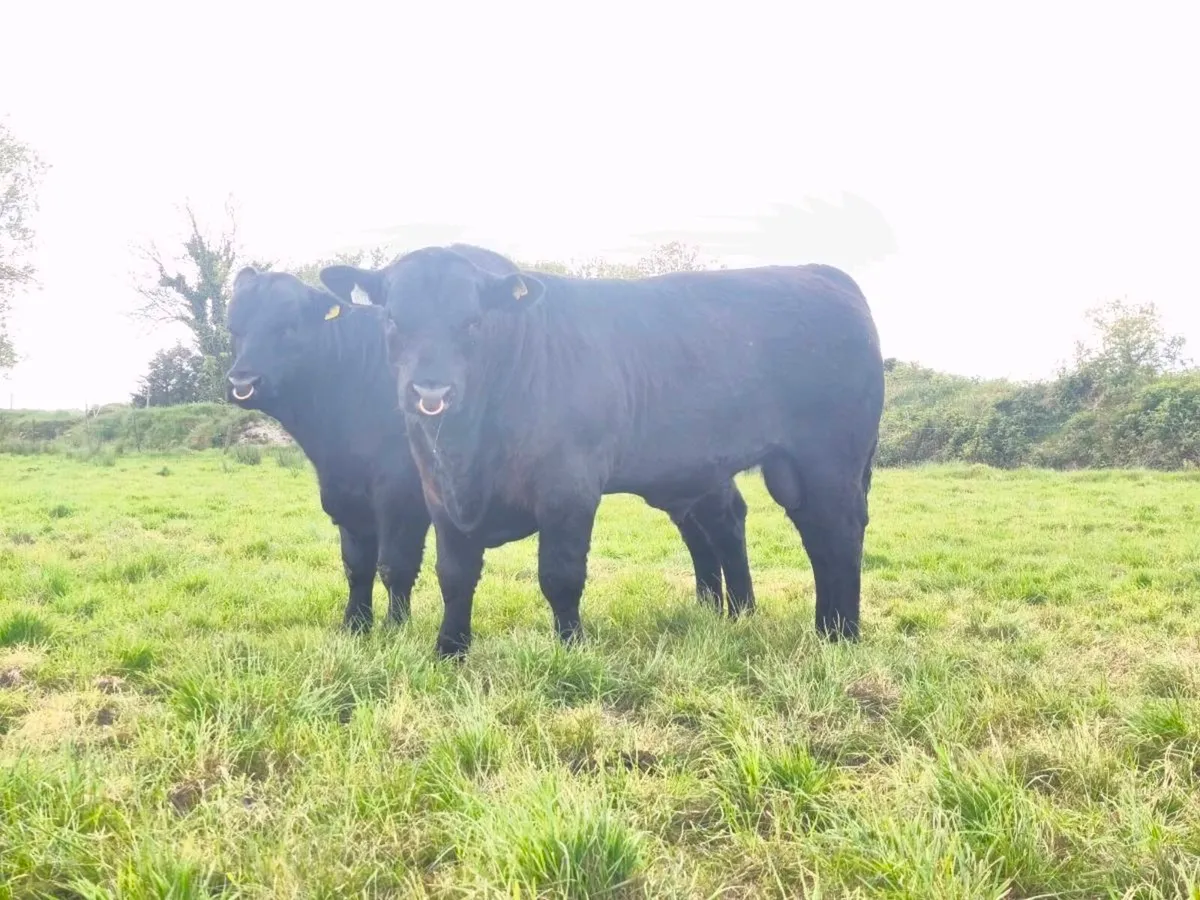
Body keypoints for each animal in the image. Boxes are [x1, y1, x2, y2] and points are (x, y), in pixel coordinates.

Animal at [225, 246, 754, 634]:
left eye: (288, 326)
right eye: (235, 327)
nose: (241, 381)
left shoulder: (400, 496)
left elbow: (395, 566)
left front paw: (395, 629)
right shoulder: (348, 498)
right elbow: (357, 566)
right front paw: (354, 628)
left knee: (726, 520)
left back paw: (740, 611)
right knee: (698, 529)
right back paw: (710, 607)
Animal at [319, 247, 884, 659]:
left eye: (474, 321)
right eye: (393, 319)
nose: (429, 390)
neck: (468, 449)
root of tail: (824, 274)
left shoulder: (568, 488)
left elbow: (560, 576)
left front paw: (570, 648)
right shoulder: (438, 493)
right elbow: (454, 575)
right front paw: (449, 650)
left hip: (830, 462)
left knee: (837, 538)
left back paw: (839, 636)